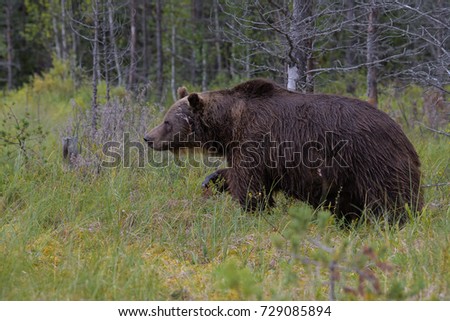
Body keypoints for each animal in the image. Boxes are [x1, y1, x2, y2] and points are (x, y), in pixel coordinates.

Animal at [146, 79, 424, 224]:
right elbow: (241, 175)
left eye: (167, 121)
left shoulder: (256, 141)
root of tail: (402, 133)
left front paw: (252, 211)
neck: (229, 125)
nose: (148, 137)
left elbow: (250, 186)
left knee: (391, 198)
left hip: (371, 158)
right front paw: (212, 179)